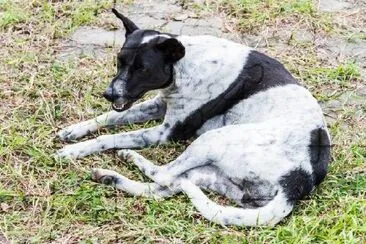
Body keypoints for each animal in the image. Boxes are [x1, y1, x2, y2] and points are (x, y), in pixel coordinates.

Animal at [57, 9, 332, 227]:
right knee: (166, 186)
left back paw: (128, 158)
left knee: (165, 175)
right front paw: (74, 131)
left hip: (212, 140)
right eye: (119, 61)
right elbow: (106, 118)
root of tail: (298, 182)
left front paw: (74, 150)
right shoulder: (159, 105)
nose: (109, 94)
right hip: (213, 177)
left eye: (142, 68)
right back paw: (110, 176)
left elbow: (111, 137)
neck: (184, 63)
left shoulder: (166, 132)